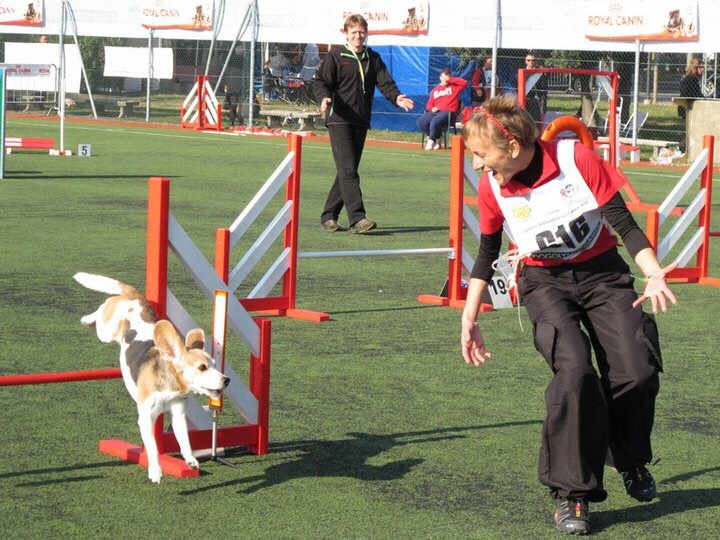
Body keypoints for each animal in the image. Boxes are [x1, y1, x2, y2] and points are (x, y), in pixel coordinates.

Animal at [74, 272, 229, 484]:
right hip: (106, 329)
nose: (227, 380)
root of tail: (137, 298)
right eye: (202, 368)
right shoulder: (146, 419)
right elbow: (153, 449)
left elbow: (185, 441)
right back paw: (86, 318)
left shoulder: (178, 415)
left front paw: (190, 460)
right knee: (103, 309)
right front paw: (155, 471)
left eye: (214, 364)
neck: (170, 387)